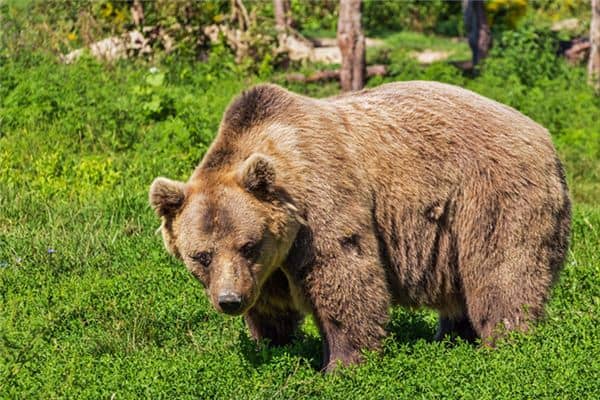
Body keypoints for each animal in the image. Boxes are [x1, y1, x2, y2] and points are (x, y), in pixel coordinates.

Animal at [148, 81, 568, 372]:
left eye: (248, 245)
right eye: (201, 255)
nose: (230, 300)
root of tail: (544, 135)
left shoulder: (321, 204)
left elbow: (344, 277)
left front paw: (341, 364)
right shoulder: (269, 267)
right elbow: (270, 306)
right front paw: (273, 344)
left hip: (492, 195)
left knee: (502, 272)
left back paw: (506, 343)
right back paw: (451, 337)